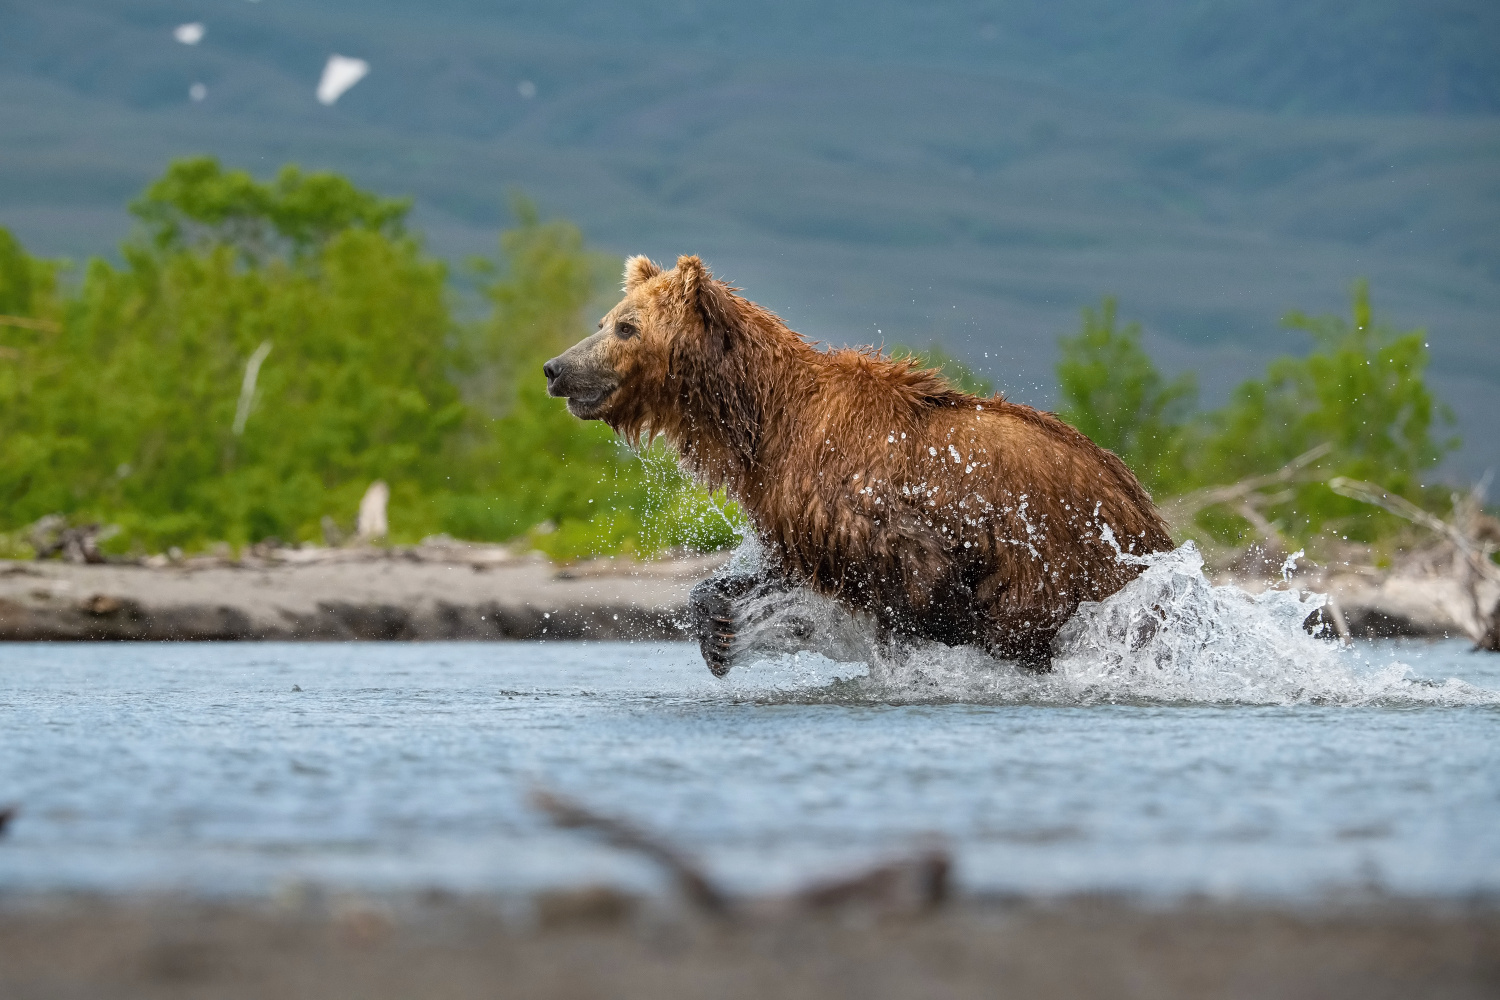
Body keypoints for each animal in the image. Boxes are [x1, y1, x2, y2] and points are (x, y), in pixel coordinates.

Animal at [546, 254, 1176, 677]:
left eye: (626, 326)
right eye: (605, 321)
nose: (556, 368)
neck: (765, 421)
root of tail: (1146, 511)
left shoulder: (870, 499)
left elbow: (918, 581)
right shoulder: (796, 510)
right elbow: (788, 568)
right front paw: (719, 629)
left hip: (1067, 555)